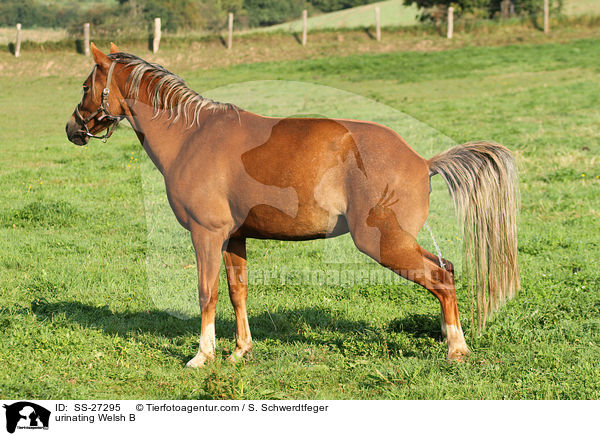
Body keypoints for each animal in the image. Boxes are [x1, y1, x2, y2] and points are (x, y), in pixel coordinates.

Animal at [64, 44, 516, 364]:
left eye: (86, 86)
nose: (72, 128)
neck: (192, 137)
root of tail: (422, 161)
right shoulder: (234, 238)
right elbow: (237, 291)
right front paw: (240, 350)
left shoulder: (206, 235)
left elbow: (207, 291)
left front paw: (202, 356)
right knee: (446, 272)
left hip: (384, 243)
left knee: (440, 278)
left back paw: (456, 350)